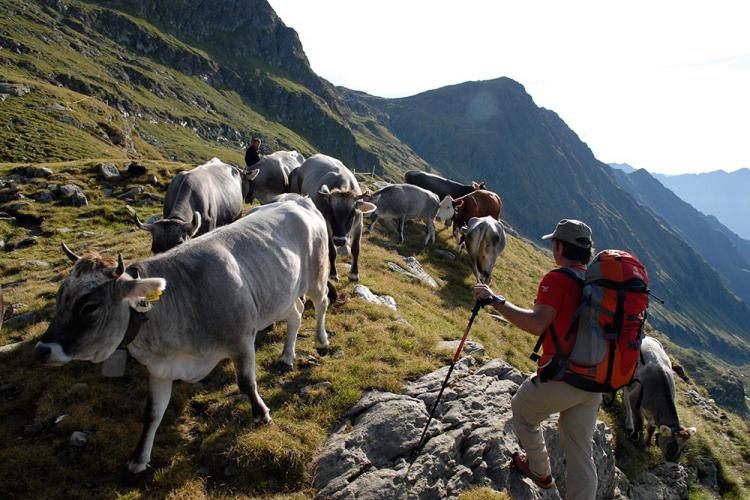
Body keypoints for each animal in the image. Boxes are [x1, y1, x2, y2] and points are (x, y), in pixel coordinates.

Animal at [34, 195, 334, 476]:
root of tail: (298, 199)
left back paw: (321, 342)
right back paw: (286, 357)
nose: (42, 349)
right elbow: (152, 412)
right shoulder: (160, 367)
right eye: (60, 298)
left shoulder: (241, 340)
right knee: (295, 313)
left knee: (321, 304)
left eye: (89, 306)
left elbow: (247, 383)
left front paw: (261, 415)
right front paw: (138, 460)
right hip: (282, 293)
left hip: (317, 275)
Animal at [292, 153, 378, 282]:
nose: (339, 240)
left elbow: (356, 249)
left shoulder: (359, 224)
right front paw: (333, 273)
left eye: (352, 214)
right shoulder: (326, 224)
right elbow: (332, 250)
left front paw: (354, 274)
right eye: (331, 212)